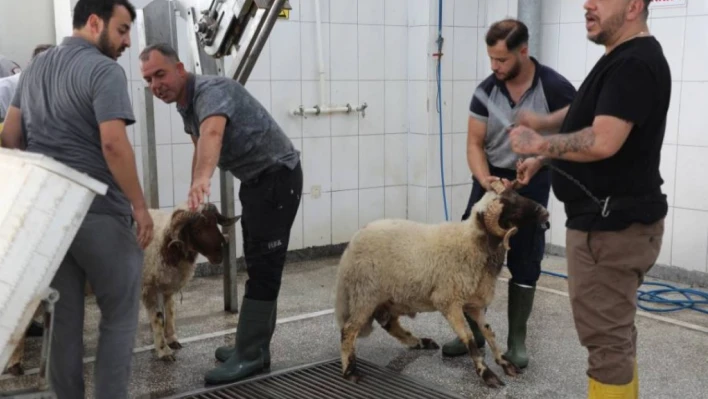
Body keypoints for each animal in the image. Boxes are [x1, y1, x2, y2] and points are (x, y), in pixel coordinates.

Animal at [334, 180, 552, 390]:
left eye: (517, 194)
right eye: (511, 207)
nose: (544, 211)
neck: (472, 243)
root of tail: (350, 246)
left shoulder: (473, 303)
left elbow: (489, 333)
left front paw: (505, 363)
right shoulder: (448, 301)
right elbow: (469, 338)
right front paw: (487, 374)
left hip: (388, 298)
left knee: (389, 324)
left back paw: (421, 342)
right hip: (365, 294)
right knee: (349, 330)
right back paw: (350, 371)